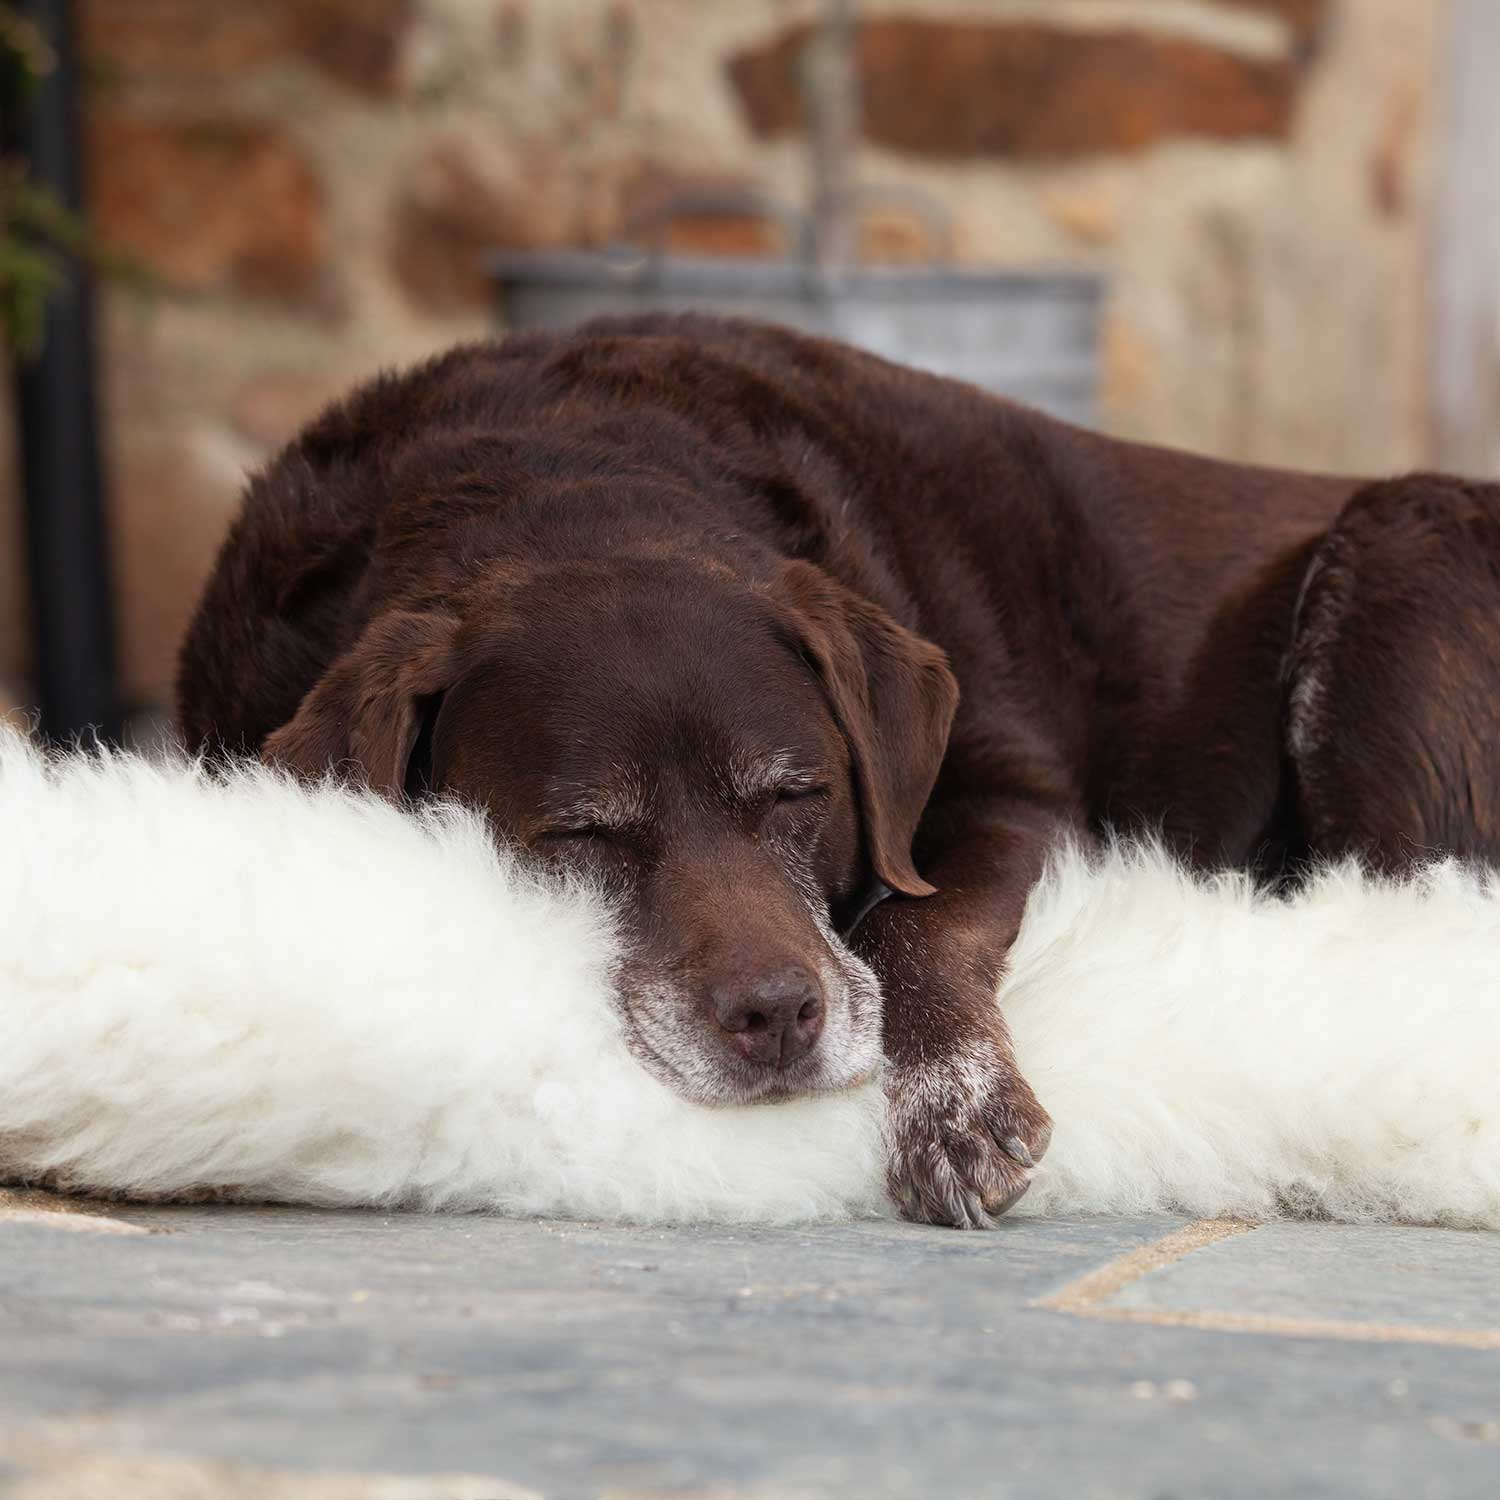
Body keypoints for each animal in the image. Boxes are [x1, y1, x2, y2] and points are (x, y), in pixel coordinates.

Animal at [175, 316, 1500, 1230]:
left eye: (798, 794)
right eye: (580, 835)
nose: (777, 1016)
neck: (559, 478)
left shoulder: (1009, 788)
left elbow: (916, 923)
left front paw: (955, 1105)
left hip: (1398, 538)